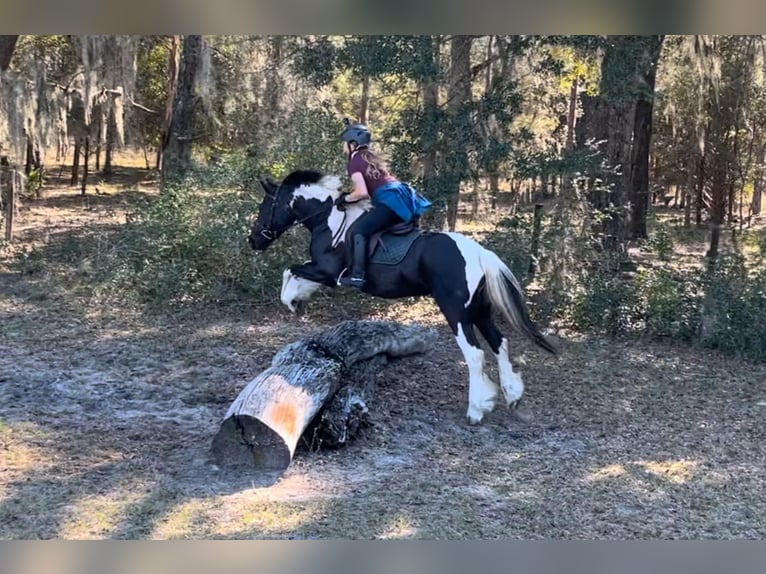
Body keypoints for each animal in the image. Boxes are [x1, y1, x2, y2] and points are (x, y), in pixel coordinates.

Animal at [249, 169, 560, 426]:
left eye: (265, 206)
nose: (254, 241)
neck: (328, 220)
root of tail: (480, 253)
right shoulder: (321, 271)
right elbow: (295, 274)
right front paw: (298, 300)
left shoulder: (326, 271)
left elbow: (289, 272)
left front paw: (292, 302)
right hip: (480, 311)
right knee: (500, 344)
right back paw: (512, 396)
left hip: (456, 312)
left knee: (475, 354)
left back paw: (476, 410)